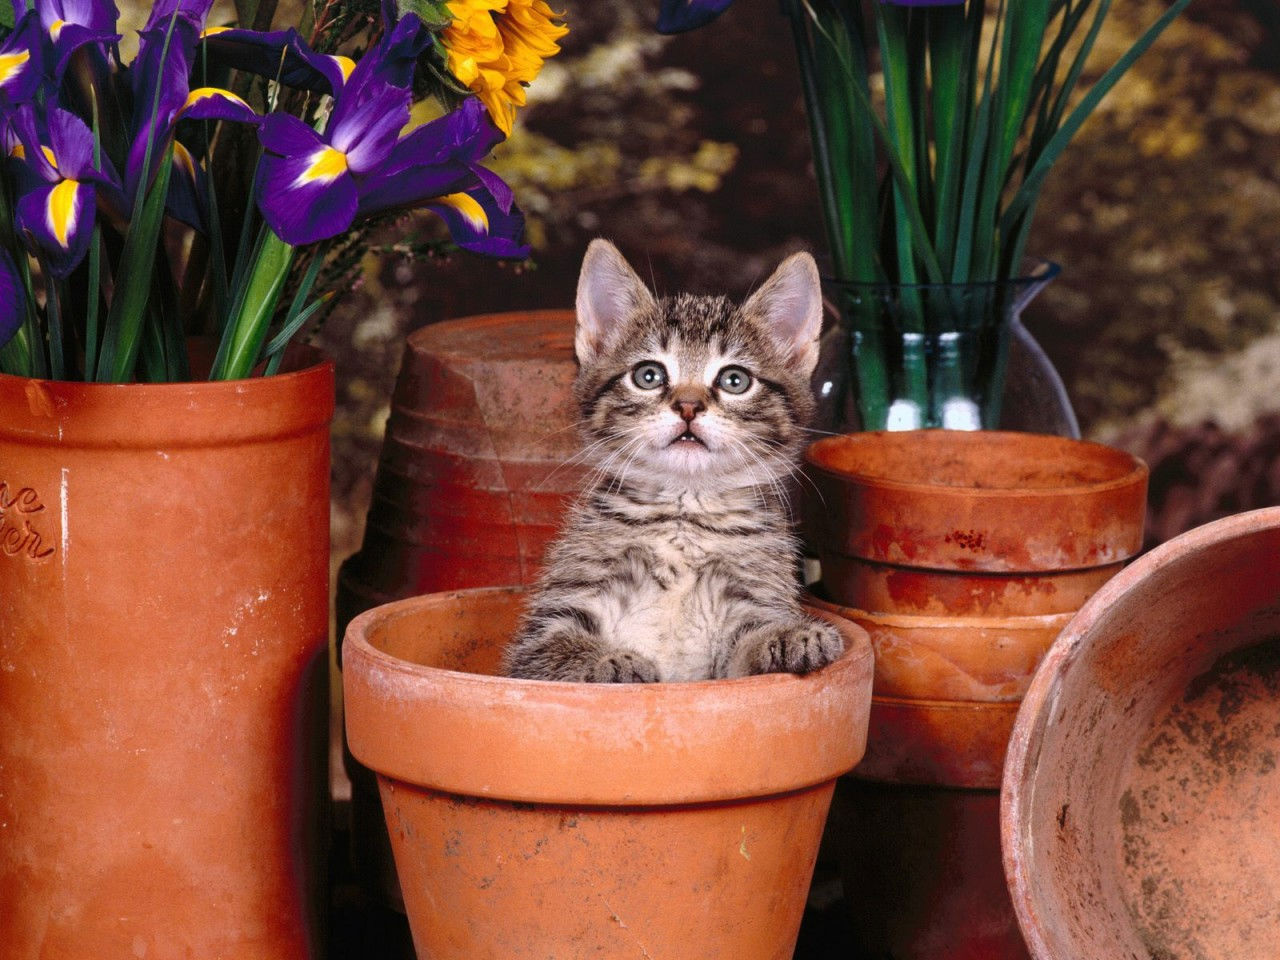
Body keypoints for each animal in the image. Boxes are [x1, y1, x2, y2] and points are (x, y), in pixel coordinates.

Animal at [504, 240, 844, 686]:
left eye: (735, 380)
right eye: (648, 375)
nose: (688, 406)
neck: (684, 514)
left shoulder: (746, 602)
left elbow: (745, 650)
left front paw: (792, 636)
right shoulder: (540, 639)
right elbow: (557, 651)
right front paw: (609, 661)